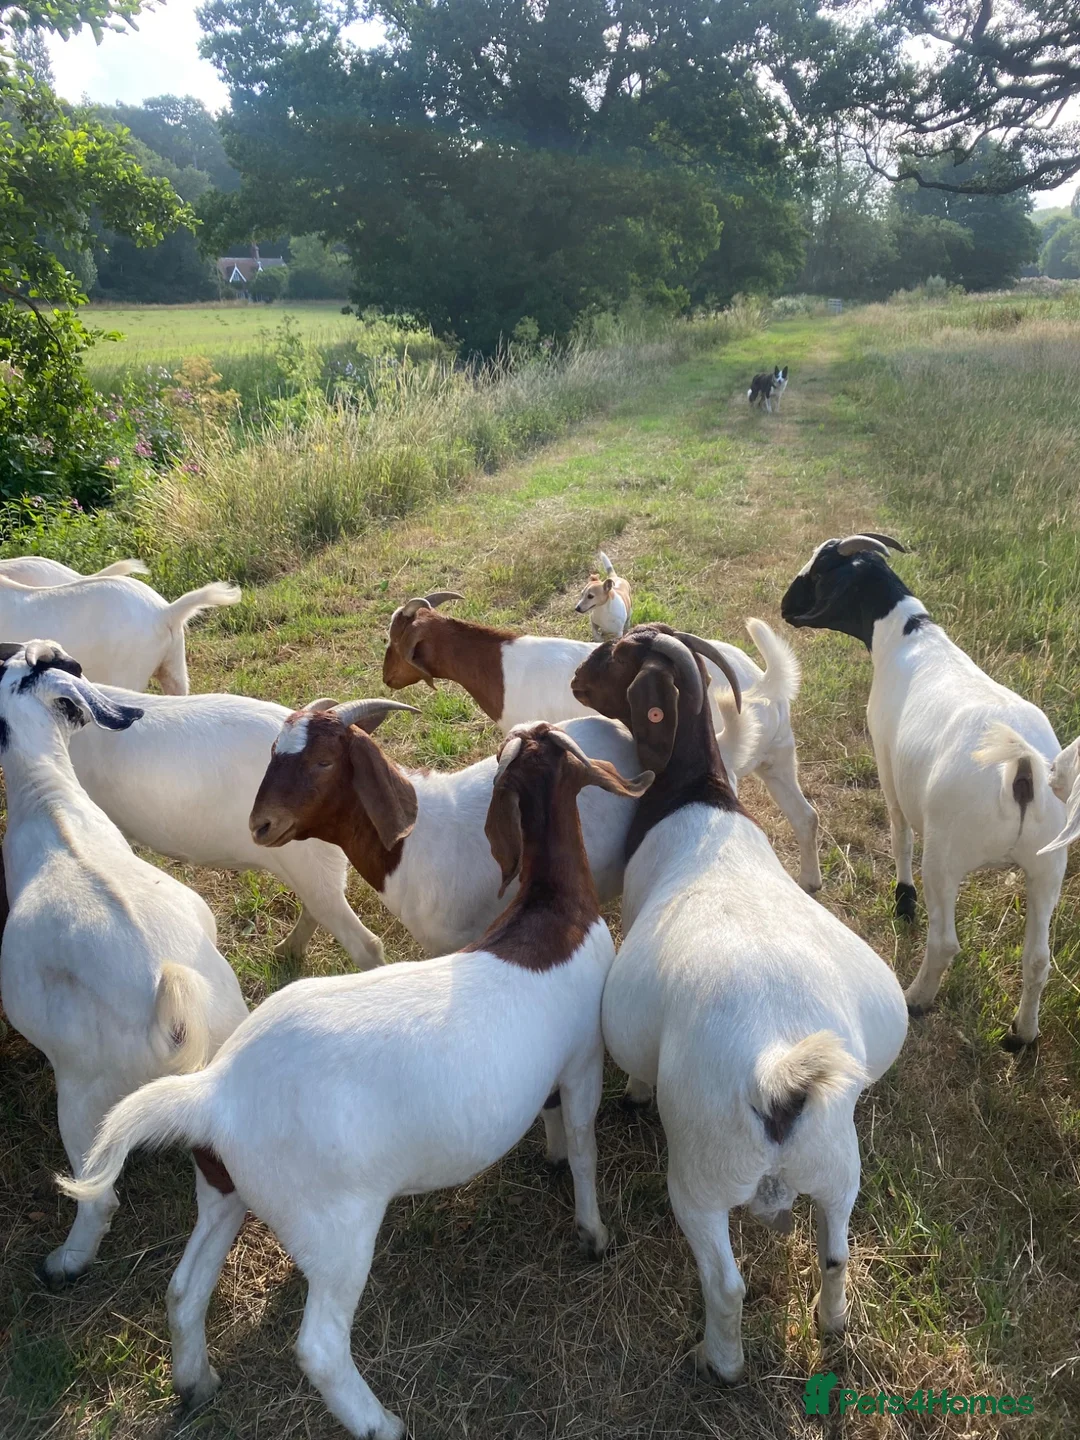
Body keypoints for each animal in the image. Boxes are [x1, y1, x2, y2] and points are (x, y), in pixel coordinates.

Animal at [383, 591, 822, 890]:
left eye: (396, 643)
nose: (386, 679)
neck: (499, 666)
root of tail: (765, 688)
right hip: (779, 760)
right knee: (806, 816)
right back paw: (810, 881)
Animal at [570, 624, 907, 1381]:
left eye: (621, 656)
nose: (575, 676)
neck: (701, 795)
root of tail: (775, 1069)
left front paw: (634, 1094)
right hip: (836, 1165)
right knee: (836, 1250)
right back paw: (832, 1323)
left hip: (701, 1177)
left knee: (725, 1281)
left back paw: (717, 1362)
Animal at [782, 534, 1067, 1047]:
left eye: (818, 572)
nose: (784, 607)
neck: (910, 636)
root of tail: (1020, 772)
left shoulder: (888, 765)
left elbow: (900, 834)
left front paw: (903, 898)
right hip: (1047, 866)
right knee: (1038, 959)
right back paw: (1021, 1035)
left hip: (947, 856)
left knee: (944, 942)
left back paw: (916, 997)